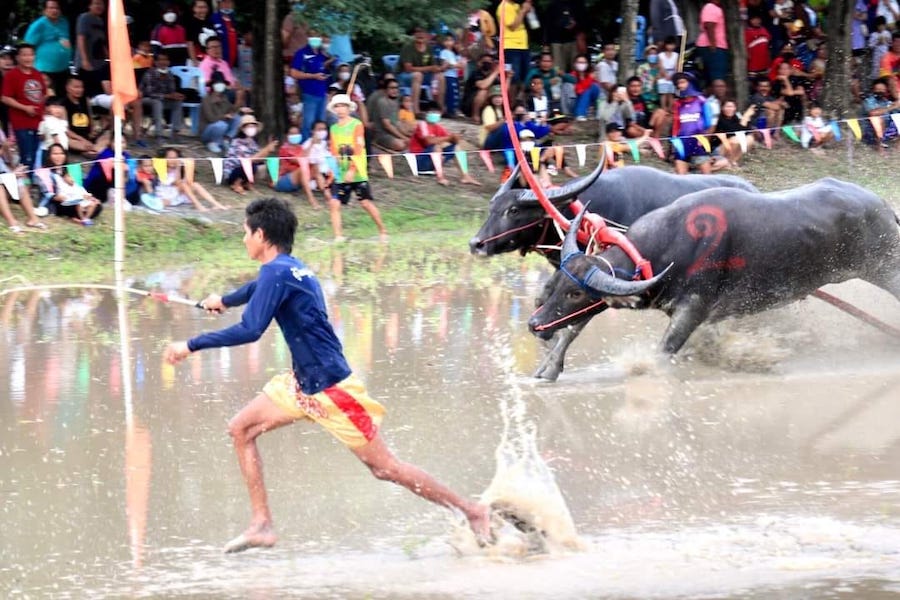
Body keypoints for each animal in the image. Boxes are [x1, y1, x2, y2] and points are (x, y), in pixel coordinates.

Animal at [472, 164, 760, 380]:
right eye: (491, 207)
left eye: (513, 210)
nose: (476, 244)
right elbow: (543, 300)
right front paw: (546, 339)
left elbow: (575, 323)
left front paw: (551, 366)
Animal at [528, 178, 900, 356]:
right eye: (559, 283)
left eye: (576, 294)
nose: (534, 323)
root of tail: (883, 207)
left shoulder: (693, 308)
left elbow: (665, 350)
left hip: (886, 266)